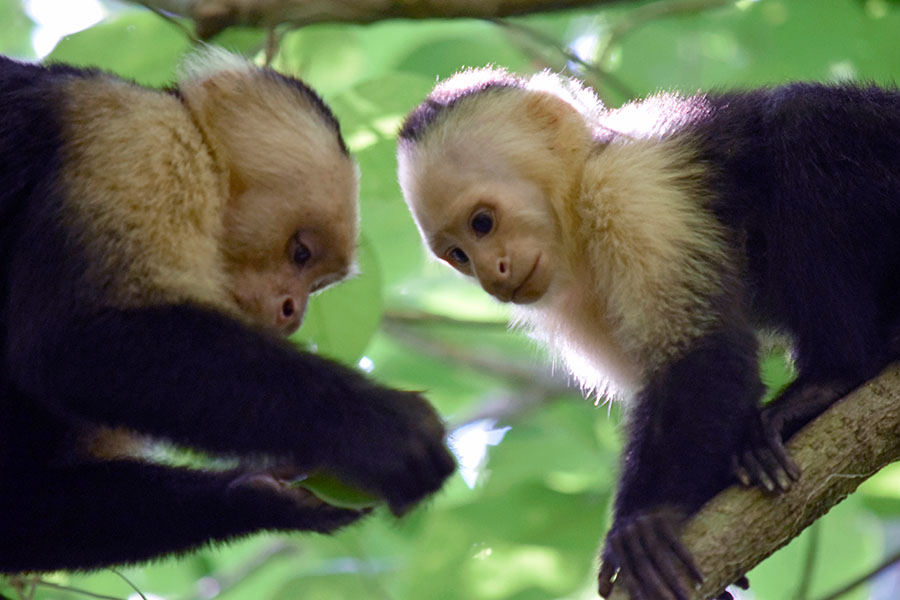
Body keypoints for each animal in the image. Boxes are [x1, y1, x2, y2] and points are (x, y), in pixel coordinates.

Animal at [0, 47, 458, 572]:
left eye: (317, 285)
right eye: (300, 253)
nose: (292, 313)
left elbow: (22, 511)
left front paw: (266, 494)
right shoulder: (138, 140)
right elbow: (76, 337)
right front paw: (381, 428)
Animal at [398, 67, 900, 600]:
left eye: (483, 223)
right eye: (458, 254)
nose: (494, 278)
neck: (577, 211)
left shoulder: (626, 192)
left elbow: (701, 356)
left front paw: (647, 521)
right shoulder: (571, 298)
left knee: (799, 120)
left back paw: (831, 377)